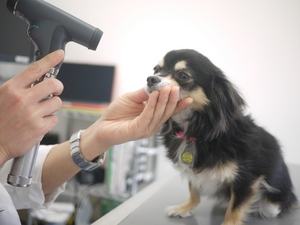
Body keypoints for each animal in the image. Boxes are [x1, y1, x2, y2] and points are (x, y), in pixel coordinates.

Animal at [144, 49, 296, 225]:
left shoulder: (247, 177)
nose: (150, 78)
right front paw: (185, 208)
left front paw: (229, 222)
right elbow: (193, 191)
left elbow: (235, 207)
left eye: (182, 75)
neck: (197, 131)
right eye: (156, 69)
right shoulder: (193, 169)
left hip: (272, 203)